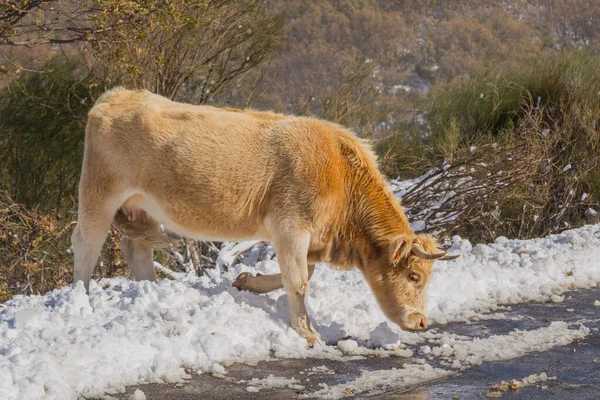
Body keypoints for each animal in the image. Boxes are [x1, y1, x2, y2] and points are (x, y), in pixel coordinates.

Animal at [70, 87, 458, 344]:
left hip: (140, 207)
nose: (421, 322)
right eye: (413, 276)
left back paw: (150, 288)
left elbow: (303, 274)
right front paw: (308, 332)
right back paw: (80, 300)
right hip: (99, 194)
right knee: (86, 244)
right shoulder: (291, 227)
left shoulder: (307, 236)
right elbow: (299, 280)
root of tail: (117, 94)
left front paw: (247, 281)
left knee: (137, 250)